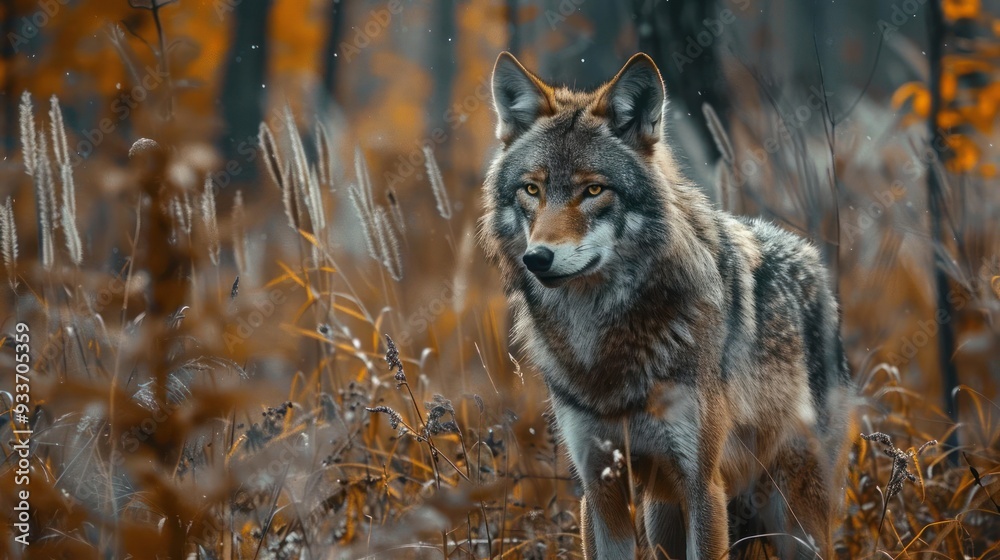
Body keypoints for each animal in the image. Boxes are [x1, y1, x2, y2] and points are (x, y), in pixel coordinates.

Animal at [479, 52, 855, 560]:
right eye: (532, 189)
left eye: (593, 190)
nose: (537, 258)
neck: (603, 343)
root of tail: (816, 268)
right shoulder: (599, 488)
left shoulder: (702, 485)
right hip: (662, 515)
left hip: (795, 521)